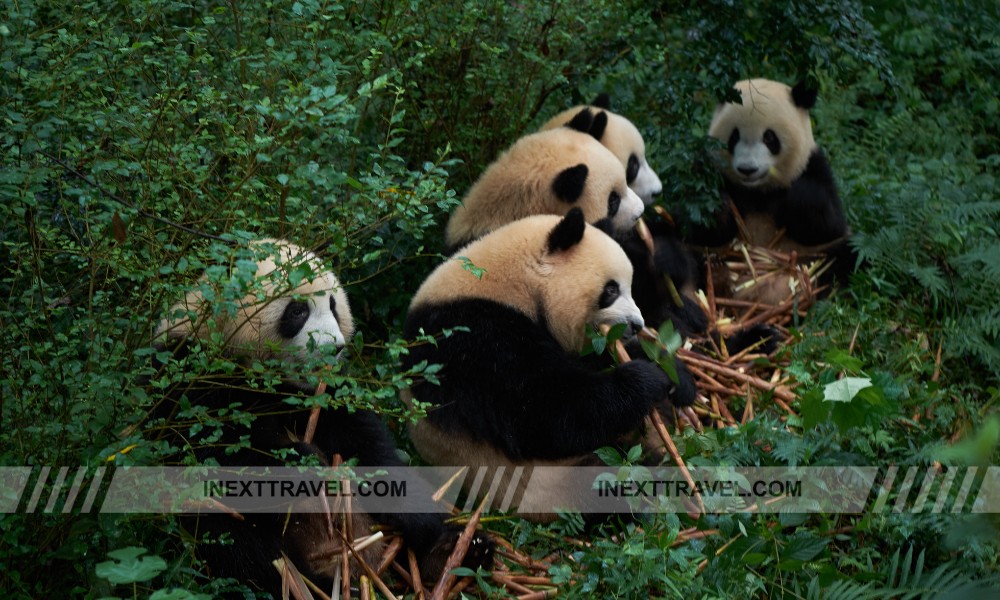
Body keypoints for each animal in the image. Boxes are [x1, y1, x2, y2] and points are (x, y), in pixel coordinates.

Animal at [152, 238, 492, 596]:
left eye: (333, 305)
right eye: (297, 311)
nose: (335, 348)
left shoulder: (323, 394)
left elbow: (368, 446)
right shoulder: (188, 376)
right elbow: (213, 451)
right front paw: (305, 464)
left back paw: (454, 551)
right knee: (234, 542)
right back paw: (311, 583)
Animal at [402, 210, 692, 520]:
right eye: (611, 290)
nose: (637, 325)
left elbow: (591, 360)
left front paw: (677, 377)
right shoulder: (473, 341)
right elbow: (543, 412)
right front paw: (646, 379)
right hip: (548, 484)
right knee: (605, 482)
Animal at [688, 78, 852, 304]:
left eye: (769, 137)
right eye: (734, 136)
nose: (747, 169)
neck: (759, 191)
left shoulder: (815, 167)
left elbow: (828, 224)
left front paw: (797, 197)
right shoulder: (711, 172)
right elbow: (700, 228)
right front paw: (717, 206)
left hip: (817, 255)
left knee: (846, 256)